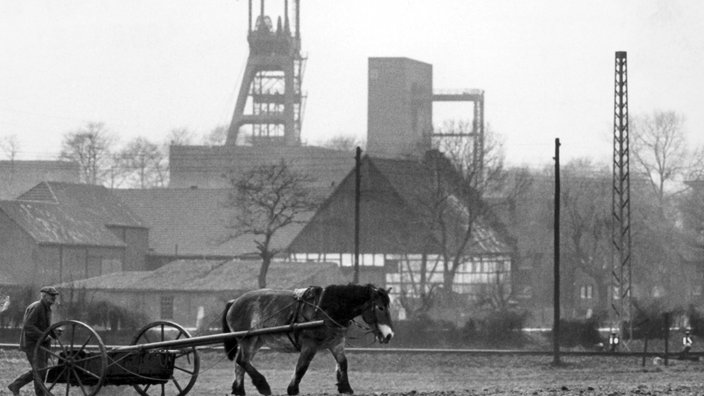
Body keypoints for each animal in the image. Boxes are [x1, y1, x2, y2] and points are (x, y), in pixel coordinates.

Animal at [221, 284, 394, 394]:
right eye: (380, 307)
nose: (389, 335)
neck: (325, 310)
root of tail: (234, 301)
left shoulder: (336, 343)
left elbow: (343, 363)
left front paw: (345, 387)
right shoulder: (310, 345)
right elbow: (302, 367)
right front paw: (292, 389)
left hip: (256, 340)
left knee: (240, 363)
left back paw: (239, 390)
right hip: (247, 340)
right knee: (242, 361)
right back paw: (262, 385)